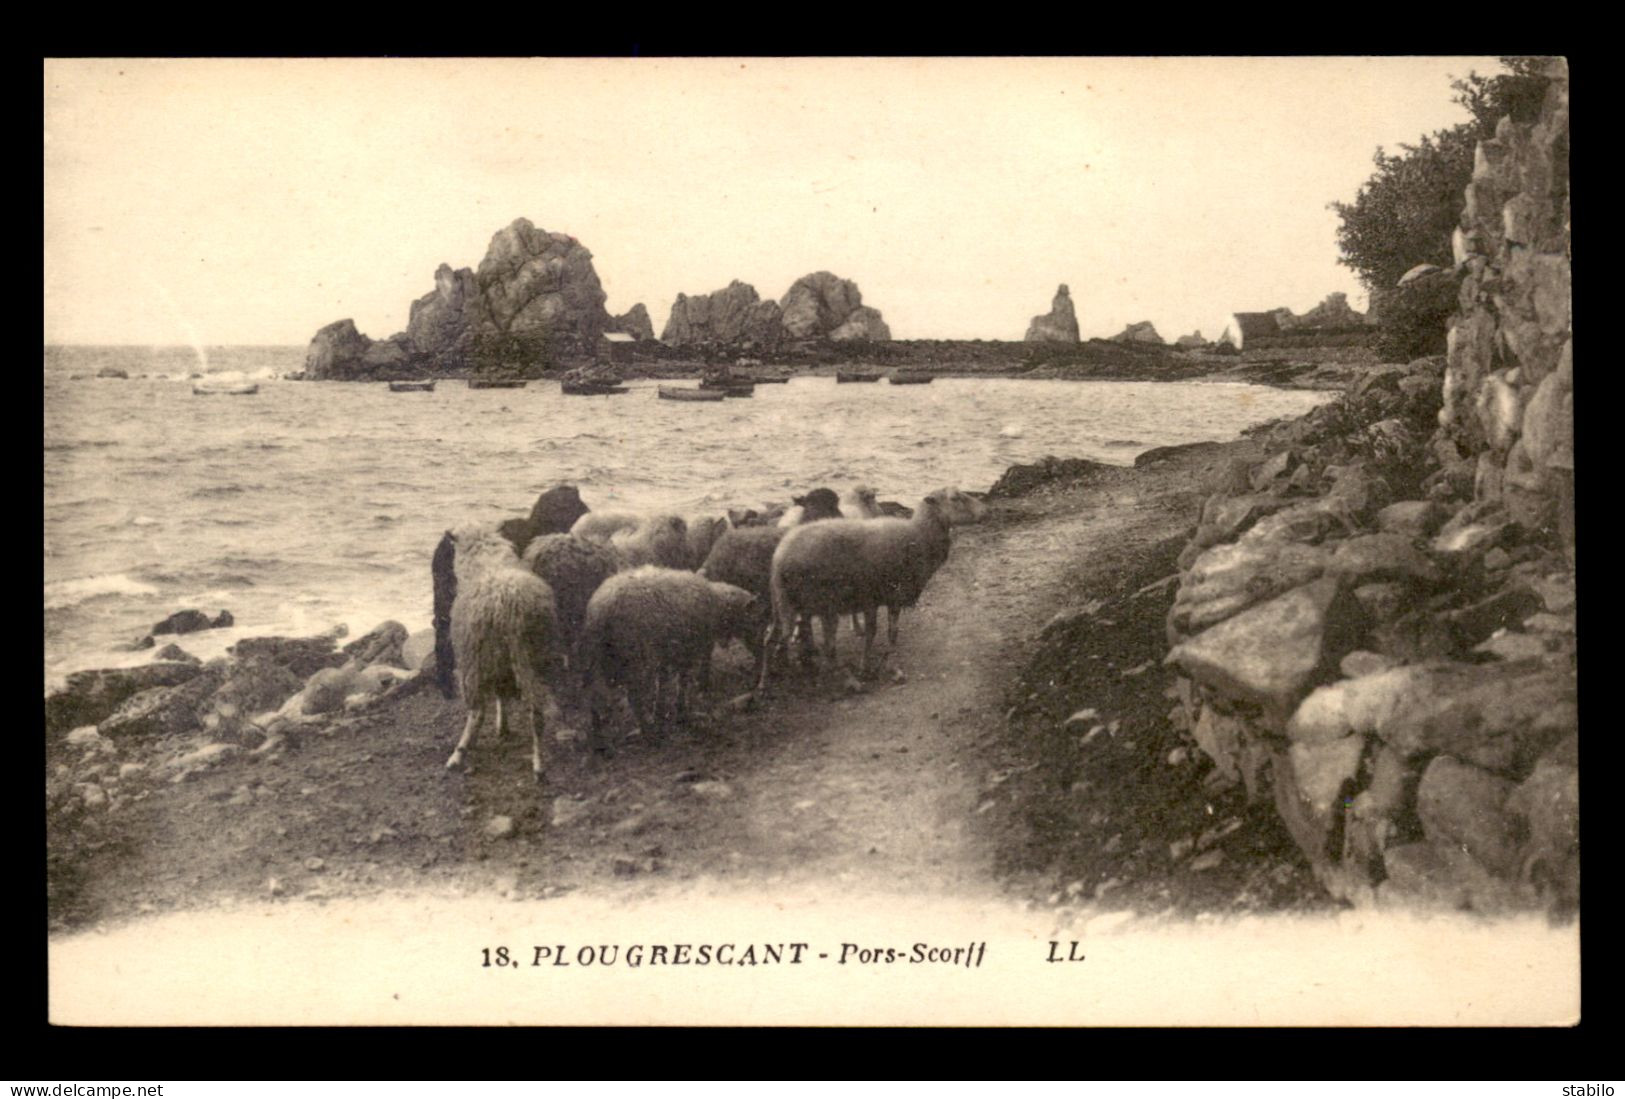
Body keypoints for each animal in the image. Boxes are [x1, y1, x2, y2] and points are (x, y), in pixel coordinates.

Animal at [448, 526, 568, 777]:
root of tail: (511, 604)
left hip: (476, 661)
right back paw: (541, 762)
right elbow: (502, 696)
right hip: (536, 655)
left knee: (477, 712)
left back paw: (459, 752)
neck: (487, 561)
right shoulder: (500, 665)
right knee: (538, 711)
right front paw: (502, 726)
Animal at [581, 572, 757, 741]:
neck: (714, 603)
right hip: (636, 657)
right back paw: (648, 732)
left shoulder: (667, 654)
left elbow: (663, 683)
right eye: (747, 616)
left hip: (598, 657)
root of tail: (601, 609)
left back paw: (598, 734)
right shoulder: (688, 650)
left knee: (593, 694)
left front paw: (660, 713)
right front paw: (682, 709)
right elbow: (684, 681)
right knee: (633, 696)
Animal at [763, 484, 988, 682]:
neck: (919, 536)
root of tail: (779, 557)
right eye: (954, 498)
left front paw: (878, 664)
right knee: (809, 642)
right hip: (813, 603)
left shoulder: (879, 599)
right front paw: (877, 666)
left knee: (773, 640)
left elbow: (885, 632)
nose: (985, 511)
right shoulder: (882, 597)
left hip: (782, 603)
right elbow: (881, 632)